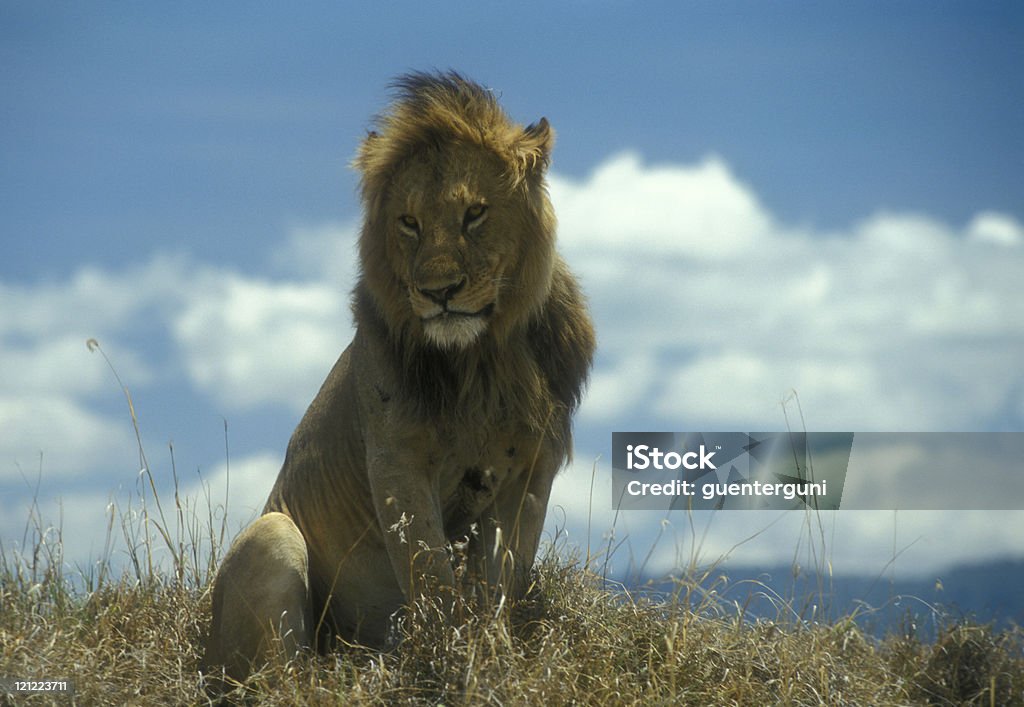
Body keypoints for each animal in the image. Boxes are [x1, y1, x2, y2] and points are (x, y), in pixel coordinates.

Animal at [199, 71, 598, 684]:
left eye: (475, 214)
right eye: (409, 223)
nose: (439, 292)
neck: (481, 363)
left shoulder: (532, 470)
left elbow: (504, 576)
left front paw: (494, 652)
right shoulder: (396, 461)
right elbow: (430, 572)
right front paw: (446, 659)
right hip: (272, 539)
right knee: (279, 675)